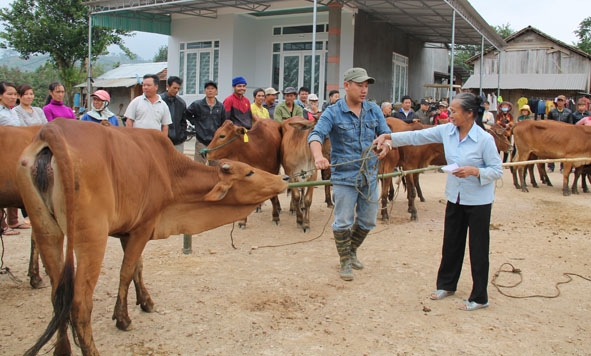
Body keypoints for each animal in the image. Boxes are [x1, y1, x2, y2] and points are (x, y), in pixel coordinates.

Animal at [17, 120, 286, 356]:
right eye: (249, 172)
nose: (282, 179)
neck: (168, 170)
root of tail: (53, 130)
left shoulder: (129, 230)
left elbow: (137, 267)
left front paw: (144, 301)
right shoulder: (143, 227)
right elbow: (126, 272)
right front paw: (123, 318)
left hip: (46, 231)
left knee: (57, 298)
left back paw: (62, 349)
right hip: (91, 240)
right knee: (78, 304)